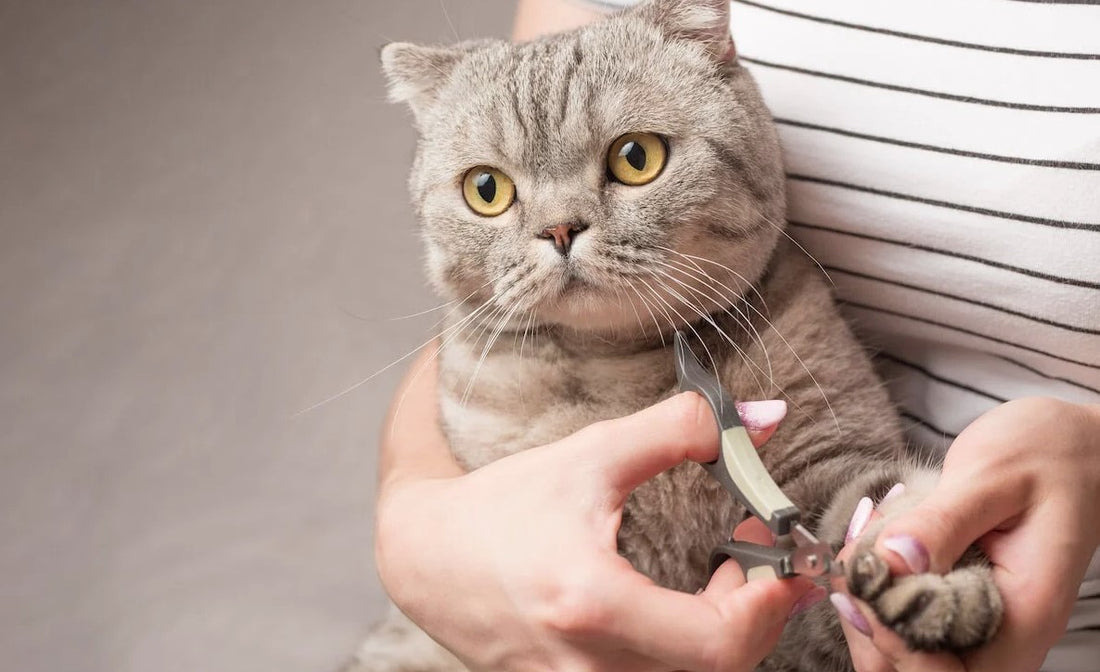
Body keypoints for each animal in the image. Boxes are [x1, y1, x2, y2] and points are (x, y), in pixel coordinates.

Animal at [356, 1, 1003, 672]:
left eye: (635, 157)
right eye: (486, 189)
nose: (560, 229)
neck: (628, 374)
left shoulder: (829, 462)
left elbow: (880, 505)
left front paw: (922, 578)